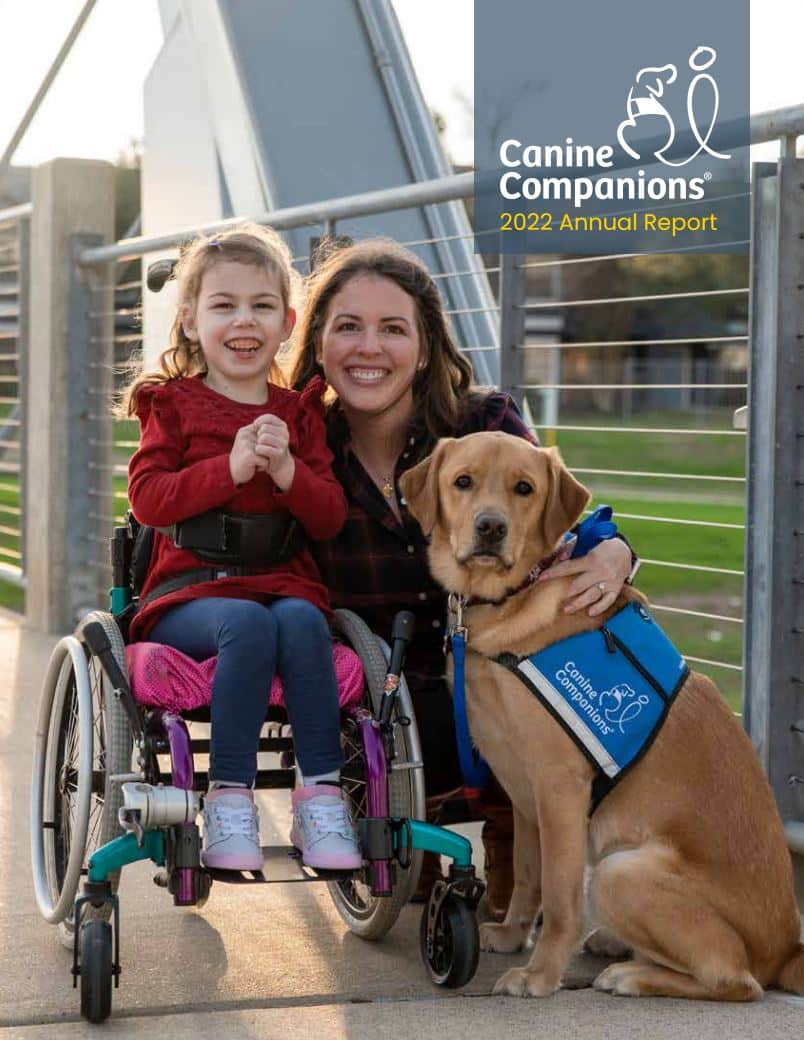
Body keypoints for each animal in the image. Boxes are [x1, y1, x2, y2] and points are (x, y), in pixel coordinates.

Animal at [401, 428, 802, 998]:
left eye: (524, 488)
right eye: (463, 481)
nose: (491, 527)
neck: (513, 598)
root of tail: (788, 949)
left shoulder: (559, 787)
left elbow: (560, 895)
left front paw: (540, 974)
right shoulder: (523, 790)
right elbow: (528, 873)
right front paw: (513, 934)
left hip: (621, 870)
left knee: (735, 979)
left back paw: (630, 973)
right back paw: (616, 945)